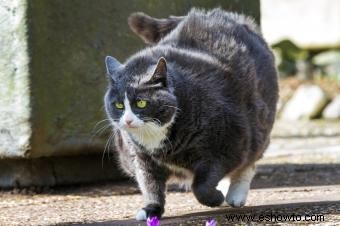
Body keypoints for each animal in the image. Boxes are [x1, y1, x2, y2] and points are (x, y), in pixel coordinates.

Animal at [104, 7, 278, 220]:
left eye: (141, 103)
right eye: (119, 105)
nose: (128, 121)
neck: (156, 138)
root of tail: (220, 14)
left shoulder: (227, 144)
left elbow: (202, 185)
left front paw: (215, 198)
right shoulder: (141, 157)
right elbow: (150, 184)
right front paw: (151, 209)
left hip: (258, 123)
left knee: (250, 160)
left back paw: (235, 195)